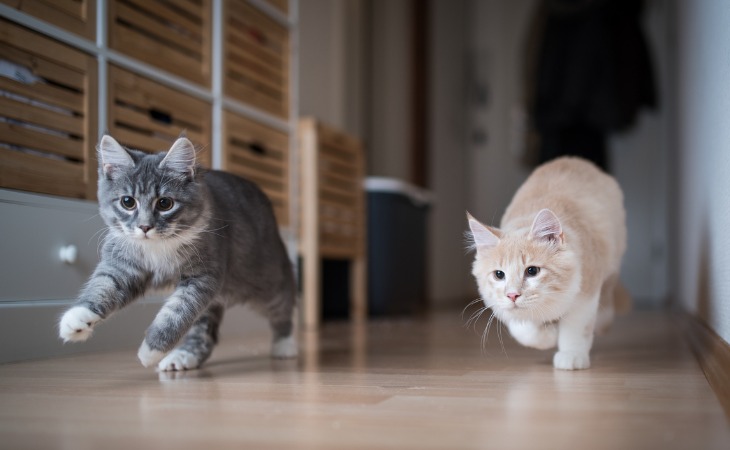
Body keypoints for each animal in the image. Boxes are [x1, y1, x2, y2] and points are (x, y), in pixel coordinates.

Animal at [57, 135, 296, 370]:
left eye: (165, 203)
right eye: (127, 202)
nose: (145, 227)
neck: (157, 247)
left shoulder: (203, 277)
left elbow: (176, 313)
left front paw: (151, 350)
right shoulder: (122, 264)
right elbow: (103, 285)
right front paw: (77, 318)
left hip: (265, 281)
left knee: (284, 303)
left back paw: (285, 345)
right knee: (203, 333)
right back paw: (183, 357)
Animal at [470, 156, 628, 370]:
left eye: (532, 271)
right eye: (499, 274)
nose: (512, 295)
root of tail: (574, 159)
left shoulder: (586, 290)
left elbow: (576, 328)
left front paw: (571, 354)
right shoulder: (501, 307)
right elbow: (524, 330)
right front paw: (549, 335)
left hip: (612, 258)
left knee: (608, 295)